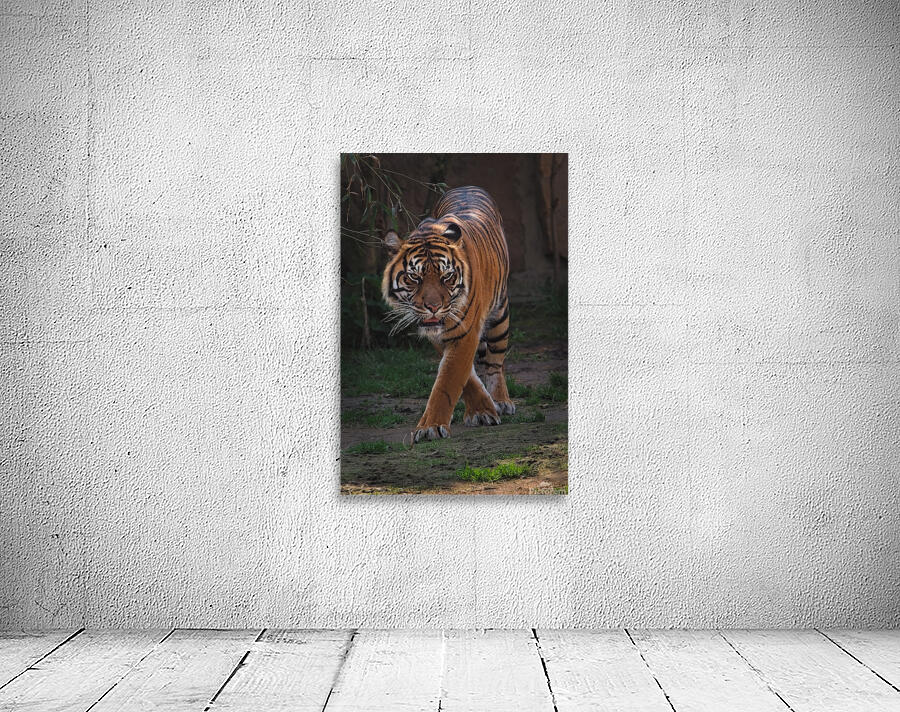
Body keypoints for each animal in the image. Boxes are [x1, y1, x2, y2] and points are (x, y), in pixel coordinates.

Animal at [382, 186, 515, 443]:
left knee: (495, 363)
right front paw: (482, 411)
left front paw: (430, 428)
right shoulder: (439, 335)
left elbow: (447, 381)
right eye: (414, 277)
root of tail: (468, 186)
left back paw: (502, 401)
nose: (433, 307)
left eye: (447, 276)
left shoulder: (465, 330)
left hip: (500, 317)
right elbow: (465, 376)